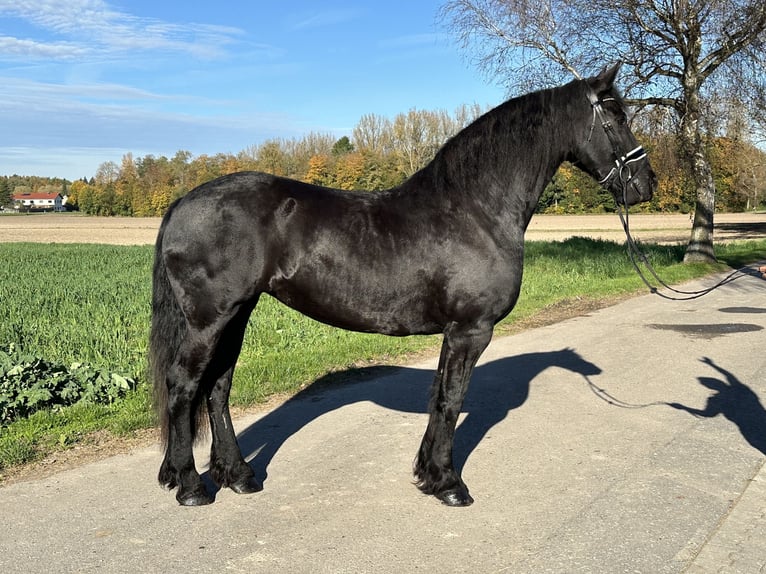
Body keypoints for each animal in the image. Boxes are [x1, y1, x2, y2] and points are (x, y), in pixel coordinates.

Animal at [152, 64, 660, 508]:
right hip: (209, 319)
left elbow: (439, 398)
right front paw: (450, 485)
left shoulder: (456, 332)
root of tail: (183, 201)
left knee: (217, 387)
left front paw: (428, 475)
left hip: (237, 314)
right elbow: (451, 401)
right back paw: (190, 485)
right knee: (183, 385)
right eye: (616, 115)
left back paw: (237, 475)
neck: (475, 209)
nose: (646, 183)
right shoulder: (471, 329)